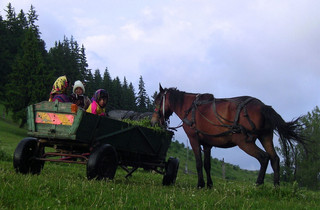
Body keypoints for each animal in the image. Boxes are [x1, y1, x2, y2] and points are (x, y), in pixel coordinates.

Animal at [151, 84, 306, 188]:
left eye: (157, 101)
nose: (154, 121)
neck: (190, 108)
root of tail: (264, 106)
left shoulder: (194, 139)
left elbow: (199, 163)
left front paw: (200, 184)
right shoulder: (207, 144)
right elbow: (207, 165)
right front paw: (209, 185)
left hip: (245, 142)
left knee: (264, 157)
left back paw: (258, 184)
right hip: (265, 137)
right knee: (274, 158)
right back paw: (276, 186)